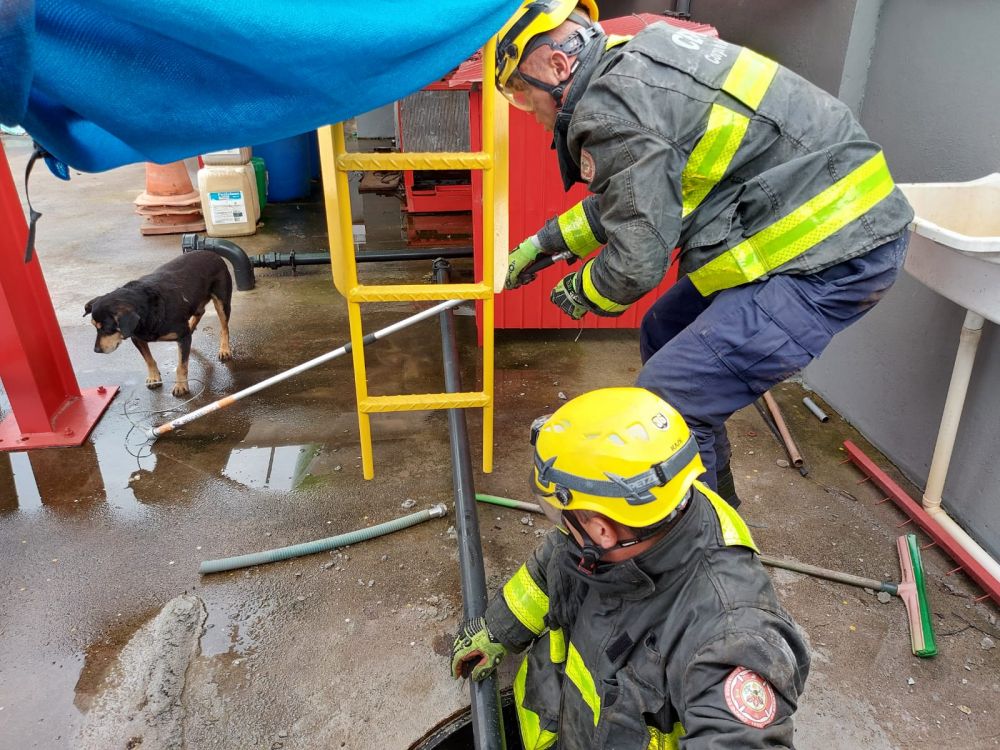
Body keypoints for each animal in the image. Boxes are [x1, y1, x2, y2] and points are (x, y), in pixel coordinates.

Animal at [86, 251, 234, 396]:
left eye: (107, 328)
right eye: (94, 326)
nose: (96, 350)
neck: (147, 311)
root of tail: (212, 253)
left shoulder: (181, 335)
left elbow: (181, 366)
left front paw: (181, 386)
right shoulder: (137, 339)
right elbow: (148, 359)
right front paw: (154, 377)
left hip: (222, 302)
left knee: (224, 326)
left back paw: (224, 349)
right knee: (199, 313)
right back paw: (191, 328)